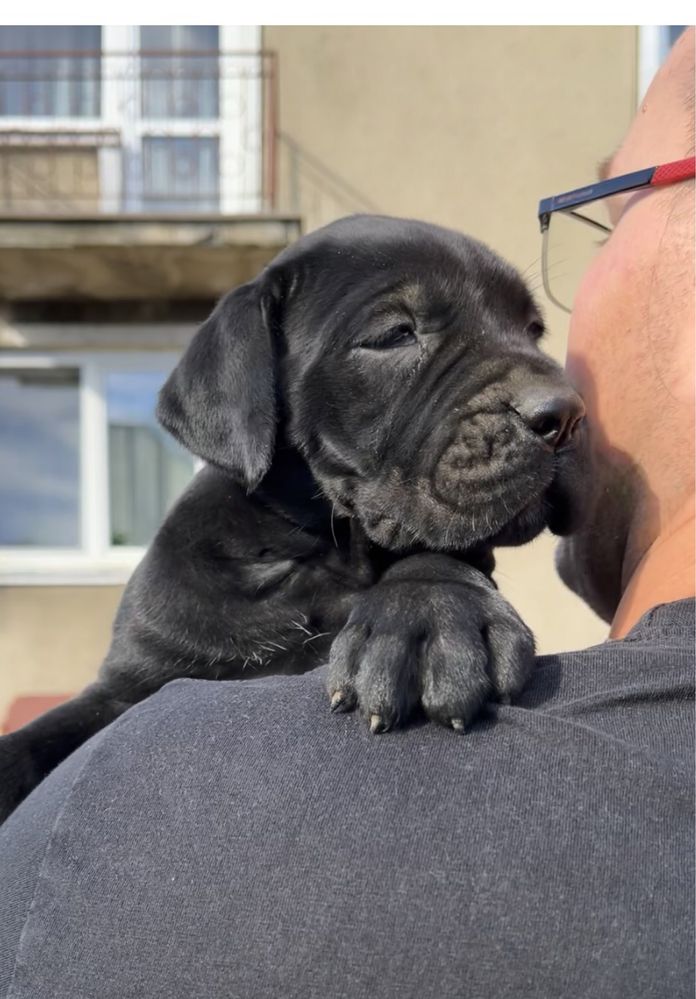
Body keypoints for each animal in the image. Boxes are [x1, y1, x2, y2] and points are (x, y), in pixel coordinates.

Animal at [0, 215, 588, 824]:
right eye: (395, 334)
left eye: (533, 330)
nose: (567, 412)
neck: (310, 554)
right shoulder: (126, 685)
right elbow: (34, 737)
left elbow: (439, 553)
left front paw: (430, 616)